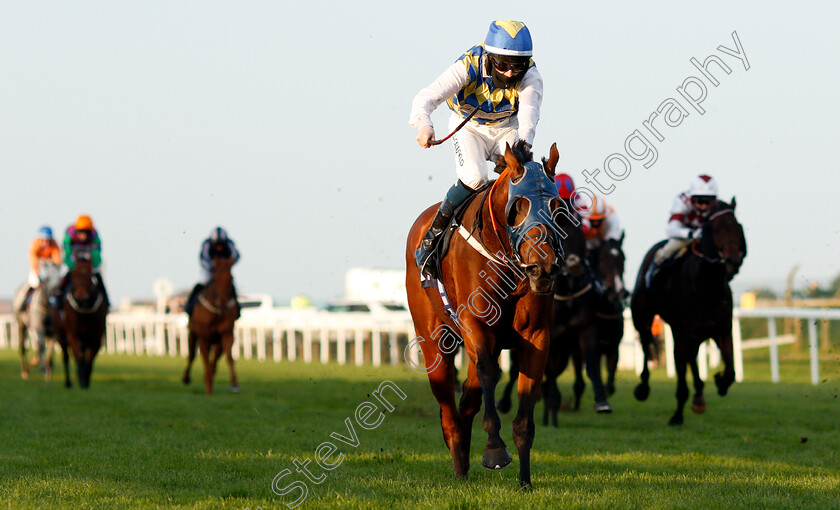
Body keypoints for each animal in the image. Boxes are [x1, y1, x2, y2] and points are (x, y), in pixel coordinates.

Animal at [51, 255, 108, 390]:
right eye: (74, 274)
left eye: (89, 275)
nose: (81, 297)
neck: (84, 312)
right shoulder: (73, 335)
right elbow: (78, 358)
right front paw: (81, 378)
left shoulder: (96, 336)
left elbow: (90, 359)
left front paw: (85, 379)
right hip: (60, 334)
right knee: (66, 357)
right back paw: (68, 382)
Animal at [182, 258, 238, 394]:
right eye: (215, 278)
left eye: (231, 278)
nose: (223, 301)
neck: (217, 312)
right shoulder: (204, 336)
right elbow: (205, 359)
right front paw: (208, 384)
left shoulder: (227, 333)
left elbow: (229, 358)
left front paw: (234, 384)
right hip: (192, 334)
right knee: (191, 355)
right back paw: (186, 378)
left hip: (217, 342)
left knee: (215, 359)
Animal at [404, 142, 568, 486]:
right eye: (518, 207)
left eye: (557, 207)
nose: (543, 268)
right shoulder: (476, 326)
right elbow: (490, 374)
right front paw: (494, 450)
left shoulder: (536, 337)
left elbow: (524, 411)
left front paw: (525, 480)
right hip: (433, 338)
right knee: (448, 407)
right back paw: (458, 464)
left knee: (467, 400)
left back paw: (464, 462)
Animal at [632, 199, 748, 426]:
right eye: (715, 229)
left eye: (738, 228)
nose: (733, 261)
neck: (707, 285)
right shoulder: (681, 333)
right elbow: (681, 377)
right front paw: (677, 416)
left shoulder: (722, 330)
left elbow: (730, 372)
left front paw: (719, 381)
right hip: (643, 317)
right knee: (646, 342)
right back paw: (643, 388)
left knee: (692, 358)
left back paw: (699, 397)